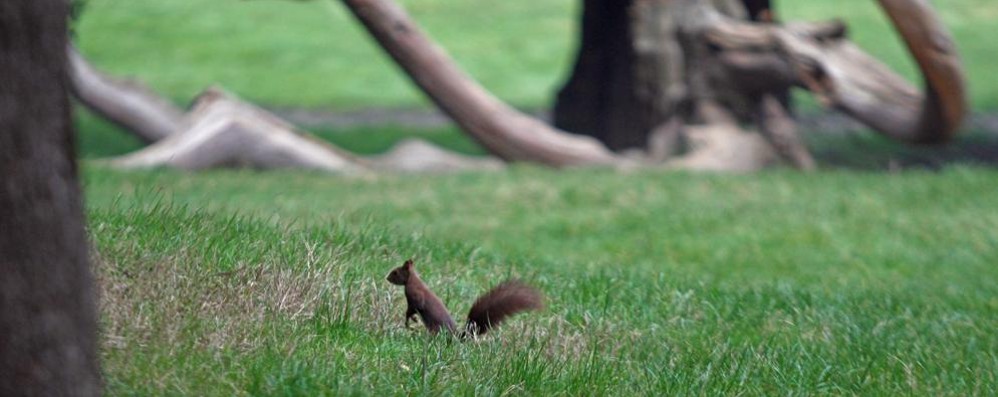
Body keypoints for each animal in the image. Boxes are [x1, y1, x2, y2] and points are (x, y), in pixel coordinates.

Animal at [384, 258, 544, 336]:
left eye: (395, 272)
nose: (387, 277)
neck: (413, 281)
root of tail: (457, 336)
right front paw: (412, 321)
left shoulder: (415, 297)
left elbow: (414, 308)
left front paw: (410, 321)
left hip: (435, 328)